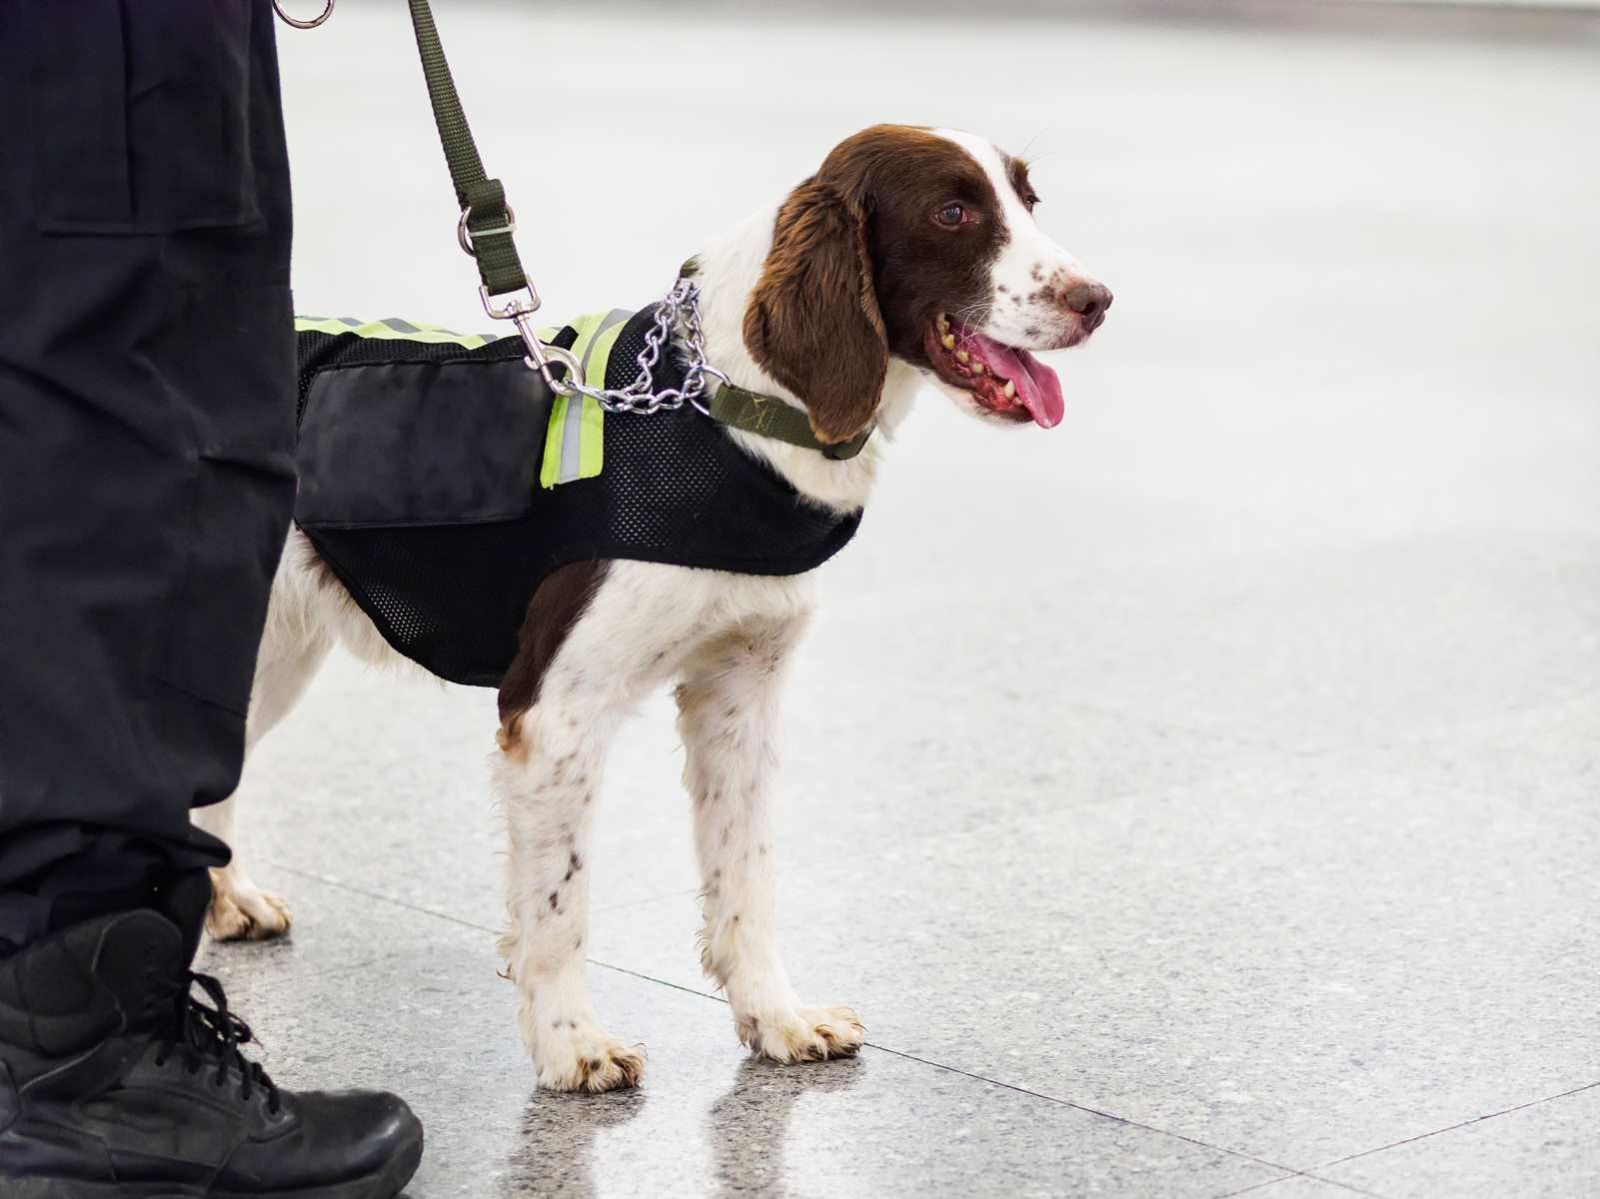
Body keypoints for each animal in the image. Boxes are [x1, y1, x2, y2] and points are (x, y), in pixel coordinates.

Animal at [196, 126, 1113, 1088]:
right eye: (953, 211)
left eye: (1029, 201)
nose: (1098, 300)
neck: (723, 410)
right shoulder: (554, 715)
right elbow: (558, 909)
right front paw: (572, 1043)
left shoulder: (740, 692)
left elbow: (746, 876)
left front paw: (776, 1017)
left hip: (270, 654)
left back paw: (227, 899)